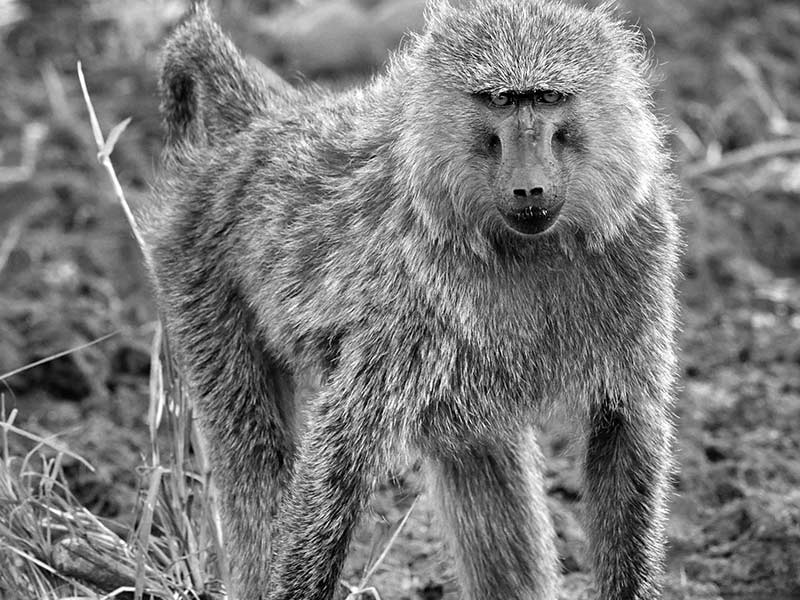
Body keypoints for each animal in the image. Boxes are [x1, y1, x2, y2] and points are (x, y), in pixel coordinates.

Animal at [144, 1, 680, 600]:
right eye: (499, 100)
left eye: (546, 98)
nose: (529, 187)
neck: (526, 245)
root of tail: (256, 128)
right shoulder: (406, 303)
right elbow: (342, 451)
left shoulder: (640, 246)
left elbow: (623, 431)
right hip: (193, 271)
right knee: (252, 462)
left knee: (483, 465)